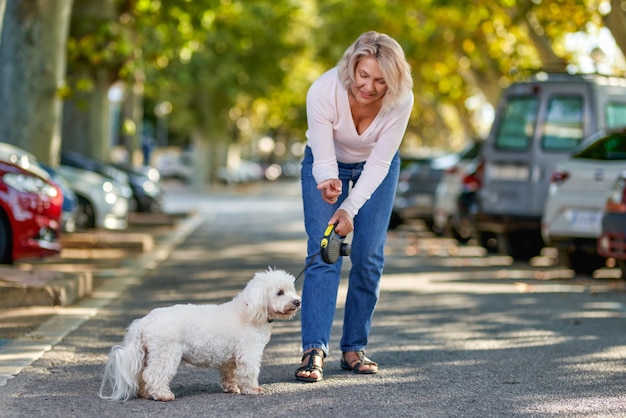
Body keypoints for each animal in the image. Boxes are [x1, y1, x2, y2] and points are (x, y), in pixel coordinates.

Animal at [99, 268, 300, 402]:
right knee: (153, 374)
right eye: (280, 292)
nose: (297, 301)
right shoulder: (248, 353)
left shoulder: (230, 358)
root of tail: (144, 321)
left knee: (142, 375)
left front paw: (231, 388)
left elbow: (229, 374)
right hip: (166, 353)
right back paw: (162, 395)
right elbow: (249, 372)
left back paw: (145, 393)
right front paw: (252, 389)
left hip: (150, 353)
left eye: (291, 290)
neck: (249, 311)